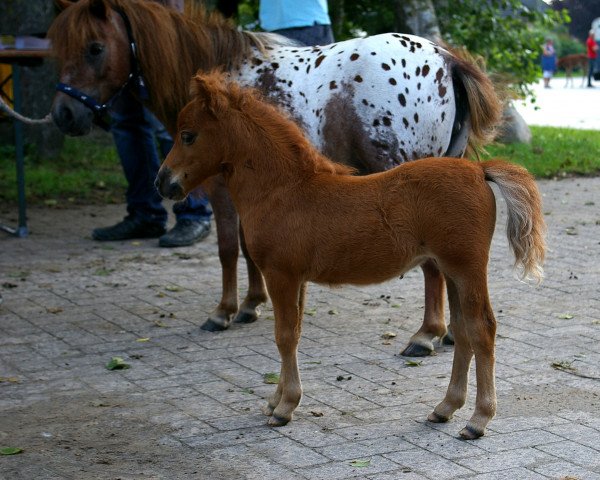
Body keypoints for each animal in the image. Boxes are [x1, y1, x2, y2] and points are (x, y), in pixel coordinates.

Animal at [49, 0, 502, 356]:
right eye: (59, 50)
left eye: (94, 48)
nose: (64, 116)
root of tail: (445, 58)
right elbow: (249, 248)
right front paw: (252, 303)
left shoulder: (220, 188)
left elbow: (229, 248)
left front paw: (225, 311)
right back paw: (449, 333)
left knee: (433, 267)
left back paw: (427, 334)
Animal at [154, 71, 544, 438]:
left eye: (187, 135)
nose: (162, 182)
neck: (283, 189)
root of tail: (478, 170)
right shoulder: (297, 279)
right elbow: (293, 333)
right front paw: (275, 400)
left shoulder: (280, 275)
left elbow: (283, 336)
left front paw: (284, 407)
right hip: (450, 270)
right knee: (462, 331)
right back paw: (445, 407)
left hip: (467, 268)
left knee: (482, 329)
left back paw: (478, 420)